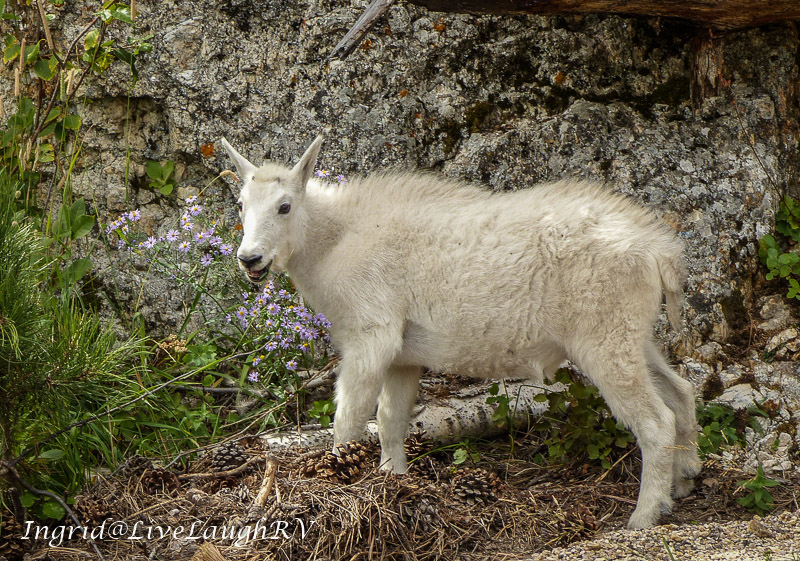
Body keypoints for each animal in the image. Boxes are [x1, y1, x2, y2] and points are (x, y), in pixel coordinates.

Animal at [220, 135, 701, 529]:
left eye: (284, 206)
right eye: (241, 205)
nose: (250, 259)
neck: (332, 242)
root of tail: (661, 252)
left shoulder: (370, 335)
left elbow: (349, 420)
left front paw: (339, 484)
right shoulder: (403, 355)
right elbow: (391, 420)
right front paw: (393, 483)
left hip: (604, 338)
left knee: (656, 420)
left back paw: (645, 515)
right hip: (633, 334)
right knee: (680, 391)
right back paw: (685, 480)